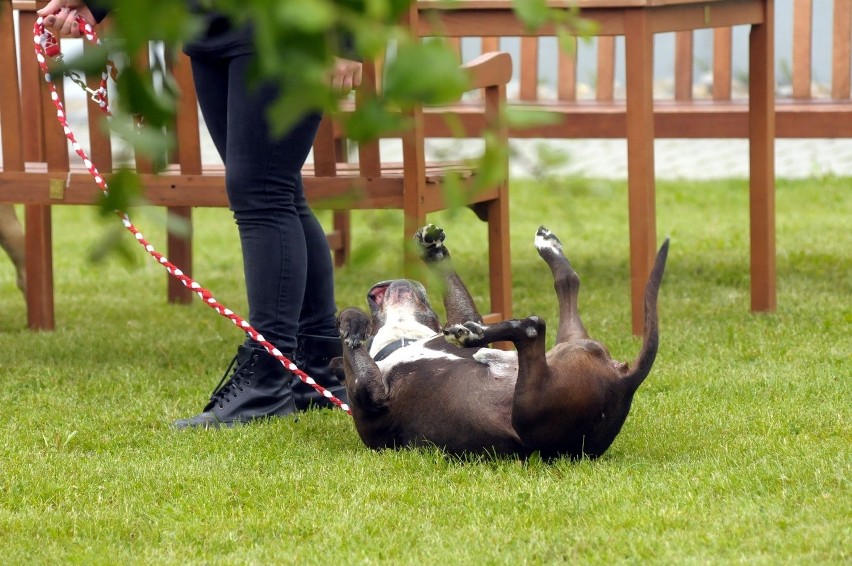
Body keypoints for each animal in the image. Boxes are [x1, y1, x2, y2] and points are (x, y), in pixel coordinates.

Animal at [336, 226, 668, 462]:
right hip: (534, 406)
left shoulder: (465, 316)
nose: (401, 280)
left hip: (557, 364)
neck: (403, 341)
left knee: (549, 307)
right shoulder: (367, 395)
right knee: (538, 322)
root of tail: (625, 381)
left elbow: (459, 300)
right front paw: (353, 323)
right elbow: (353, 344)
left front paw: (434, 251)